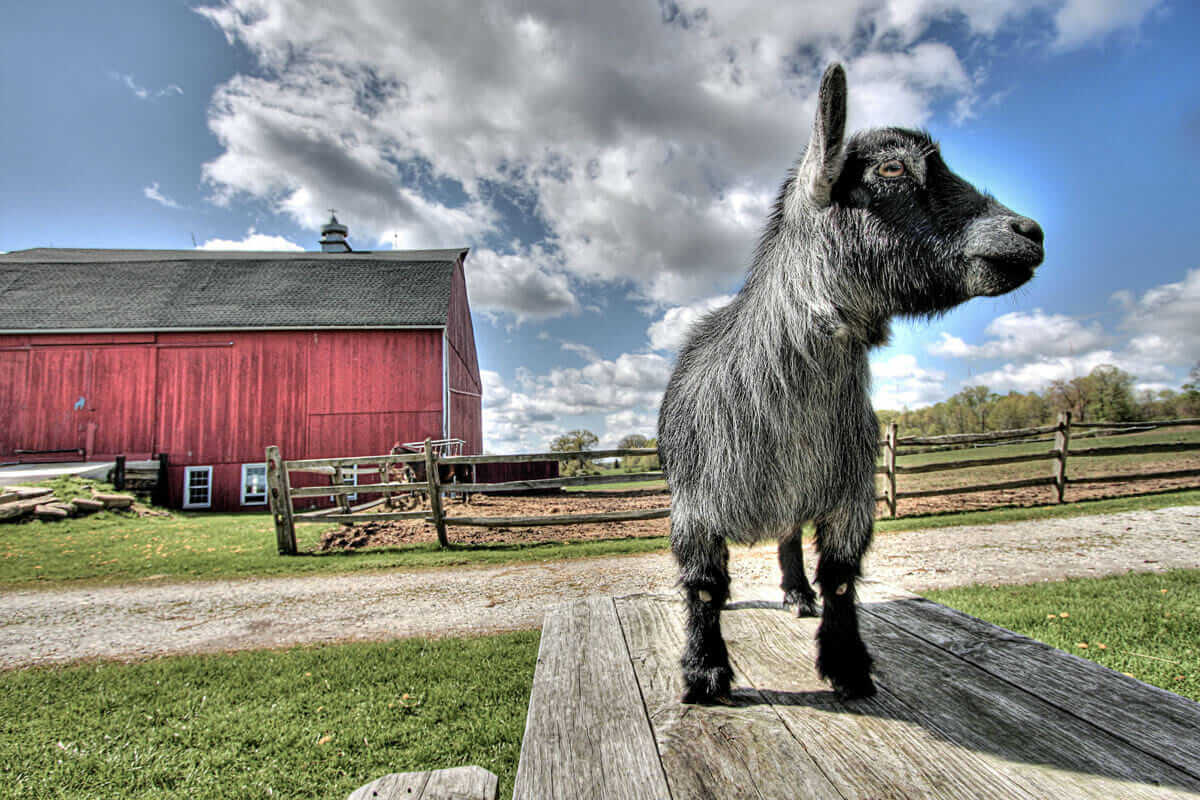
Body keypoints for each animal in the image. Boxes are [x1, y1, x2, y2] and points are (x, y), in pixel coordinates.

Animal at [662, 64, 1046, 700]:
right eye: (892, 169)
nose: (1031, 231)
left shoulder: (850, 496)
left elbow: (840, 578)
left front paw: (847, 665)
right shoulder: (694, 509)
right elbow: (704, 586)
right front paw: (705, 673)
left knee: (789, 538)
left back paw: (797, 595)